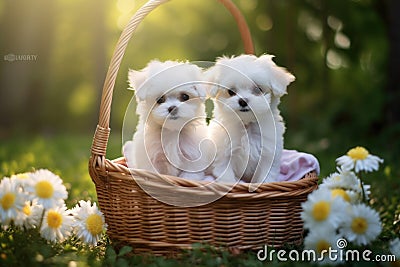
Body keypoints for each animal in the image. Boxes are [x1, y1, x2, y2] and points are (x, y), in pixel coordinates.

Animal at [206, 54, 294, 184]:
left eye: (258, 90)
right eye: (231, 92)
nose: (243, 101)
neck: (247, 125)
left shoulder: (268, 155)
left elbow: (265, 177)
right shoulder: (223, 156)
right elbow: (227, 176)